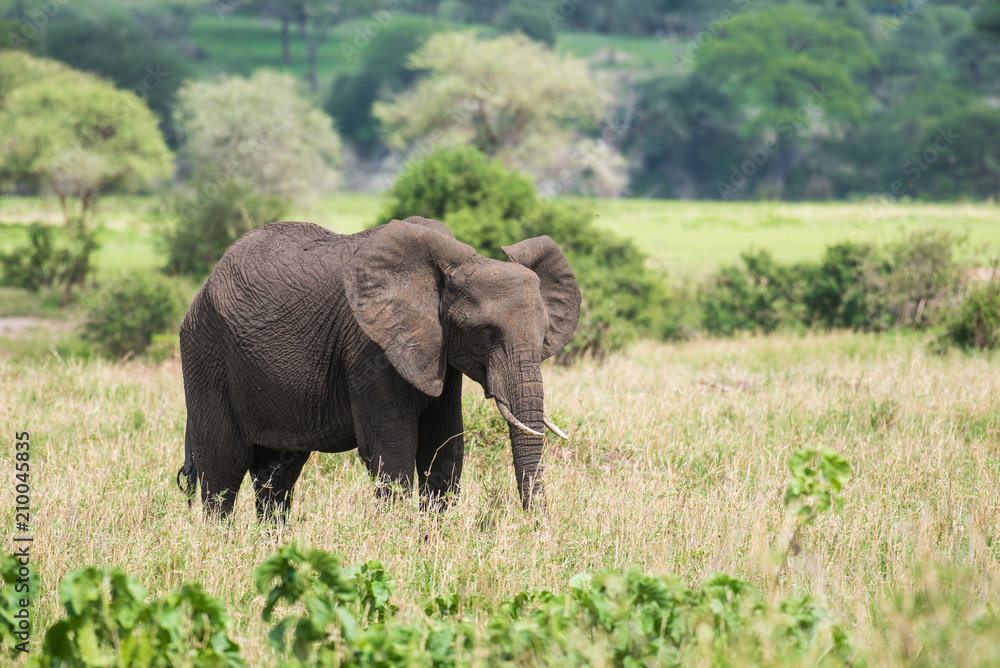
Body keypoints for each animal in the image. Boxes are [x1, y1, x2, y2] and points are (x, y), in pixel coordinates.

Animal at [176, 214, 584, 516]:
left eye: (545, 334)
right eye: (485, 335)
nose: (534, 528)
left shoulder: (436, 352)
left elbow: (444, 450)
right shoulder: (370, 350)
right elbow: (392, 452)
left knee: (277, 474)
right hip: (205, 354)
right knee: (222, 472)